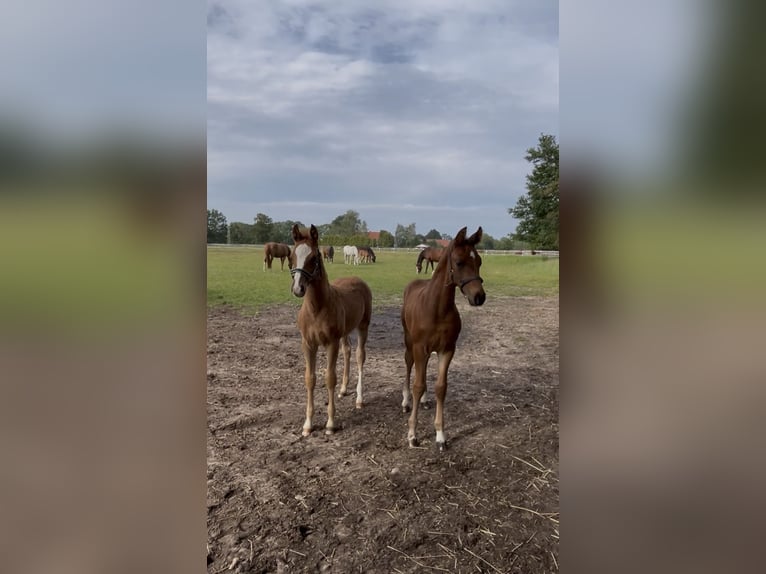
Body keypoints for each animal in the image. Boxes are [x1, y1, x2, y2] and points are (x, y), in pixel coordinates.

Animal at [291, 225, 373, 436]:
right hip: (344, 332)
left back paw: (359, 399)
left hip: (363, 326)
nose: (298, 288)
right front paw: (308, 425)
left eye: (314, 257)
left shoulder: (330, 343)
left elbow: (329, 378)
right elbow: (310, 379)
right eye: (293, 254)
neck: (316, 309)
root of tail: (357, 278)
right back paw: (344, 389)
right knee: (348, 351)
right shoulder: (308, 344)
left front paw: (330, 423)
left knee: (360, 356)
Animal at [401, 227, 485, 451]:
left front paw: (440, 435)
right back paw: (405, 402)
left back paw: (424, 401)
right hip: (409, 342)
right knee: (409, 364)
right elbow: (417, 385)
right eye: (459, 262)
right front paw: (412, 435)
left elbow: (441, 387)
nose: (479, 297)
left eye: (479, 261)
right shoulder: (419, 347)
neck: (437, 309)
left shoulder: (447, 349)